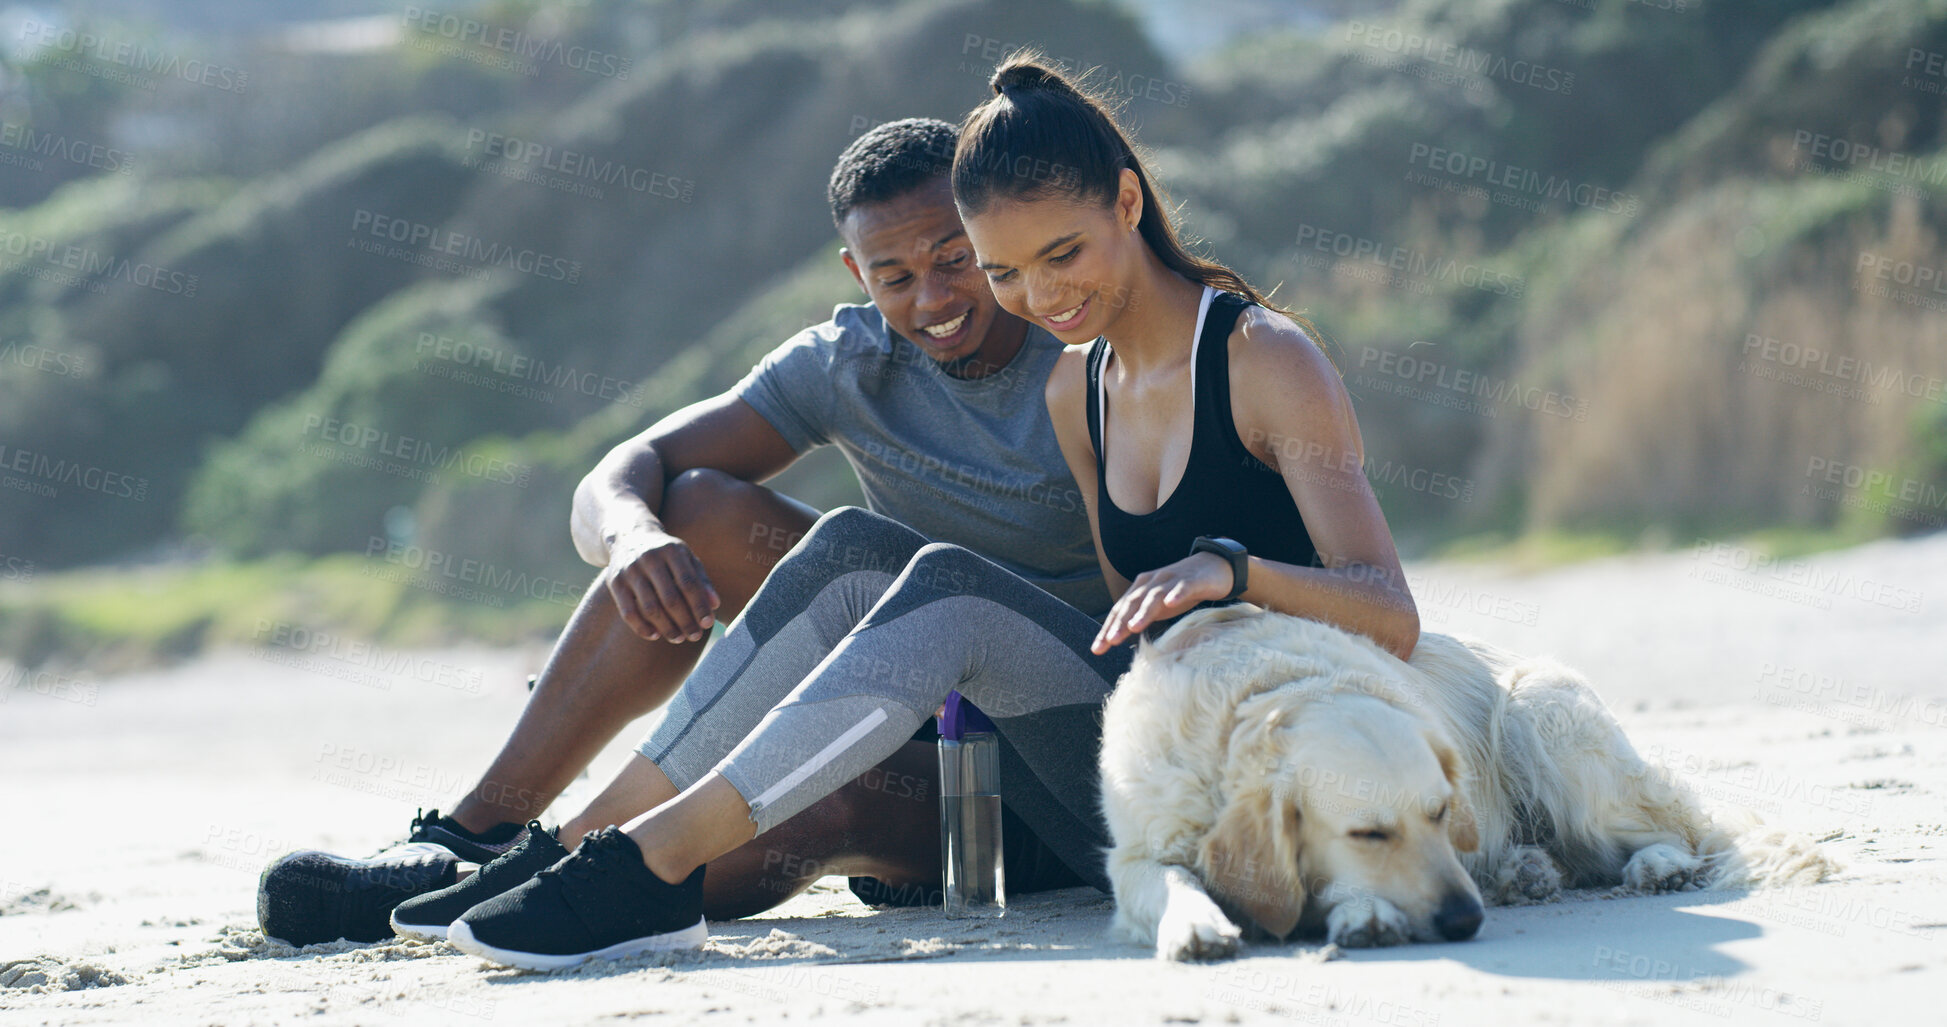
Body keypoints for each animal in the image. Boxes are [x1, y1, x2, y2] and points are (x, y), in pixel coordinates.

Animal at [1105, 608, 1830, 958]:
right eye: (1367, 833)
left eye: (1439, 813)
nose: (1463, 918)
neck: (1260, 703)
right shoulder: (1137, 851)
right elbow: (1168, 882)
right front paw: (1195, 925)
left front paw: (1364, 912)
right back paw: (1525, 871)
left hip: (1540, 716)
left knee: (1681, 829)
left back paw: (1657, 866)